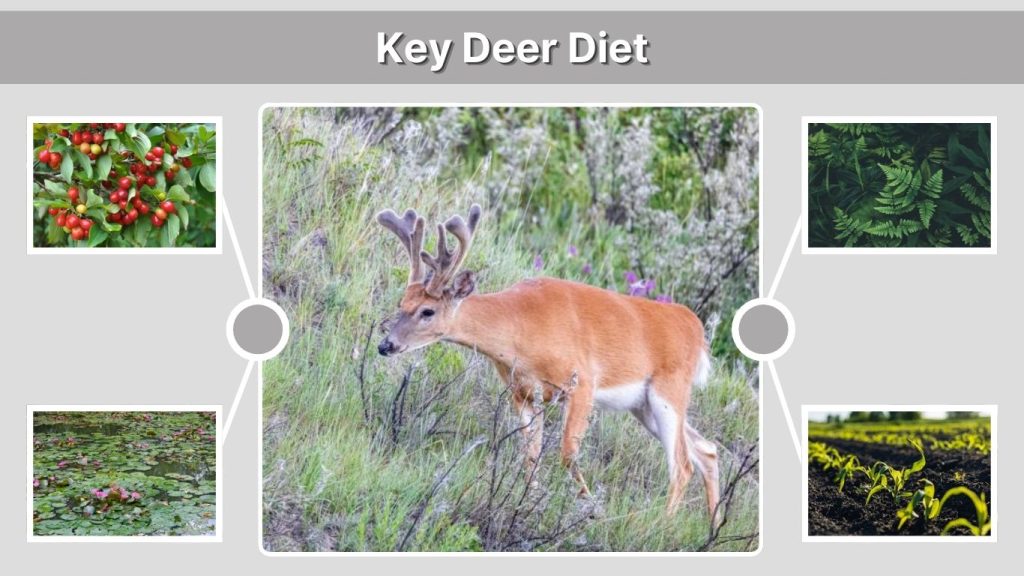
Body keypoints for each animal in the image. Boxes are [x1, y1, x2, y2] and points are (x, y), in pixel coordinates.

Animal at [375, 204, 720, 521]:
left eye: (427, 311)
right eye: (402, 303)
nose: (385, 345)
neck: (521, 328)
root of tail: (696, 329)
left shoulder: (582, 382)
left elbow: (567, 454)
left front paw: (590, 508)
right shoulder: (523, 393)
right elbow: (531, 455)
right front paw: (527, 504)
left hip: (669, 389)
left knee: (682, 464)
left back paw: (663, 524)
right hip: (643, 405)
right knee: (707, 450)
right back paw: (713, 528)